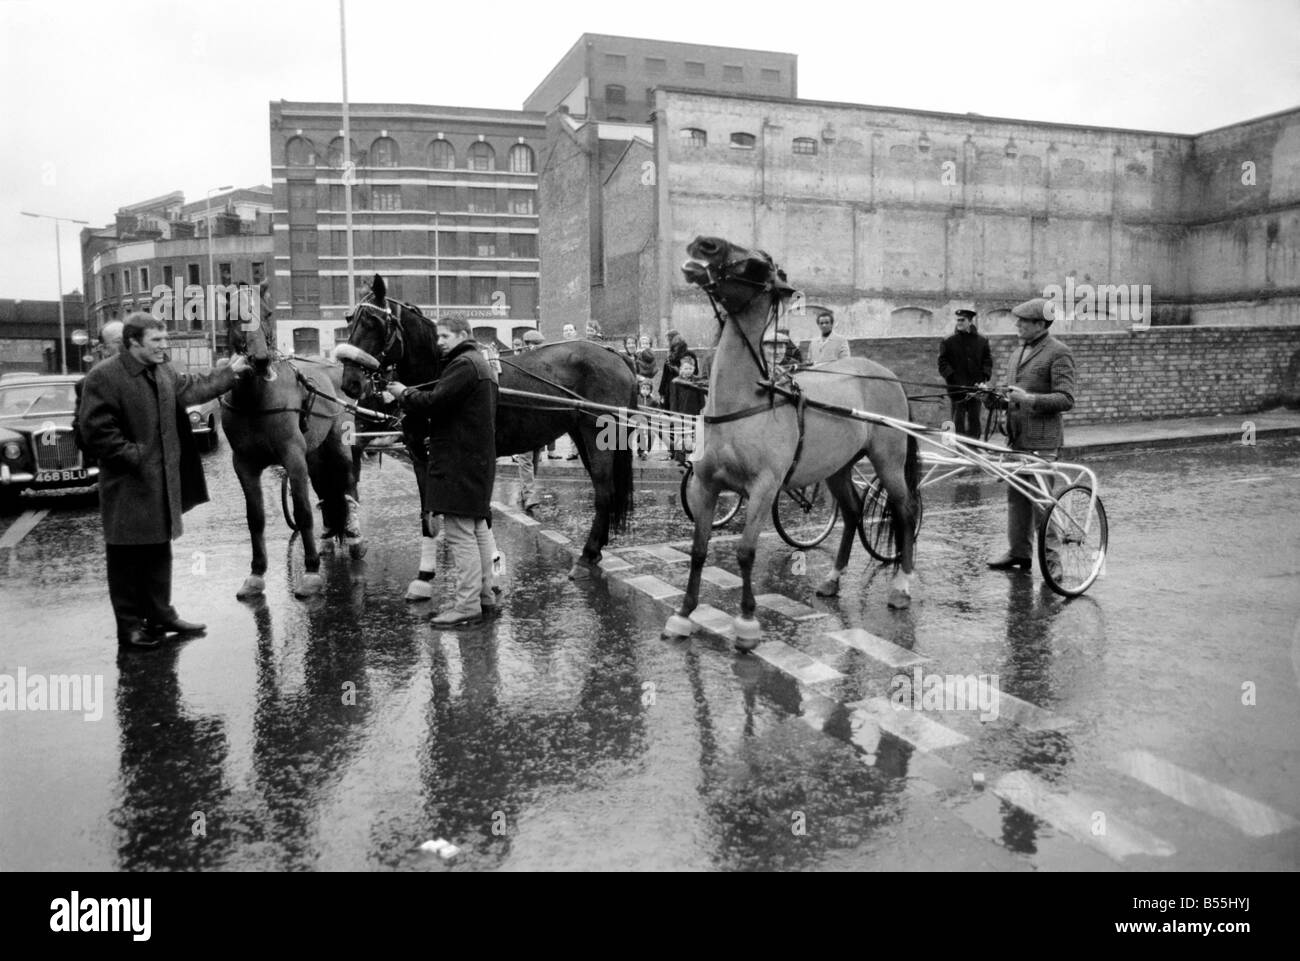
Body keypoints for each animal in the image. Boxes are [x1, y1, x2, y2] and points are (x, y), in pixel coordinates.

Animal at [218, 287, 361, 600]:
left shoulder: (293, 458)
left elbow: (303, 512)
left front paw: (311, 571)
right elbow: (255, 517)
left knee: (347, 485)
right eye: (232, 314)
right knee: (325, 489)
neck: (257, 400)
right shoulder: (244, 464)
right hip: (316, 454)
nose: (259, 359)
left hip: (338, 445)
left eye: (268, 312)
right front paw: (256, 573)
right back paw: (330, 534)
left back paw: (355, 537)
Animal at [335, 274, 639, 598]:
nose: (350, 382)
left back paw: (586, 555)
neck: (438, 377)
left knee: (604, 492)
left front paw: (489, 577)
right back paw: (594, 551)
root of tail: (616, 355)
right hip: (581, 434)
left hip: (598, 436)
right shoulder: (420, 456)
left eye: (374, 322)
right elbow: (428, 516)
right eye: (350, 320)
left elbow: (480, 515)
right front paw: (425, 575)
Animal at [665, 237, 920, 652]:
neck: (745, 404)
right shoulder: (705, 484)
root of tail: (885, 375)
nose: (704, 244)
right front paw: (684, 615)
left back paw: (902, 585)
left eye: (756, 265)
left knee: (904, 511)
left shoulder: (764, 488)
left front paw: (747, 622)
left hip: (889, 461)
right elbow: (699, 550)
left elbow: (746, 552)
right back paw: (833, 579)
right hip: (837, 468)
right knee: (852, 513)